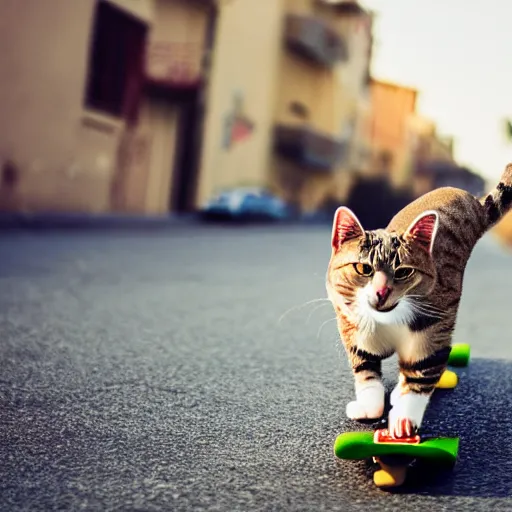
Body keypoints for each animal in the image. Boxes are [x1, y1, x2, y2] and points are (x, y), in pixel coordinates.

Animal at [326, 163, 512, 436]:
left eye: (404, 271)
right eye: (363, 268)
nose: (381, 292)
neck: (388, 320)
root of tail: (468, 199)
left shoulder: (432, 333)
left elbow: (419, 376)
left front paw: (404, 419)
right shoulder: (355, 331)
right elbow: (365, 369)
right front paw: (370, 405)